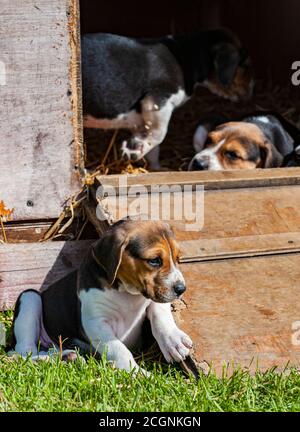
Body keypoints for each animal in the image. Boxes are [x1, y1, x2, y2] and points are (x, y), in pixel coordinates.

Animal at [9, 221, 193, 372]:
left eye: (177, 258)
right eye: (154, 260)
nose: (181, 289)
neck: (127, 292)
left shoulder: (155, 296)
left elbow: (160, 313)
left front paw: (173, 341)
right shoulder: (95, 322)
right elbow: (118, 348)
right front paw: (136, 372)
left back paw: (66, 356)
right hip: (29, 297)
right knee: (24, 351)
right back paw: (46, 358)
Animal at [81, 28, 253, 170]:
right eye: (244, 65)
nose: (252, 90)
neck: (187, 56)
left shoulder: (141, 118)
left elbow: (153, 145)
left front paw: (157, 168)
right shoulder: (158, 101)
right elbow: (160, 133)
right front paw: (133, 150)